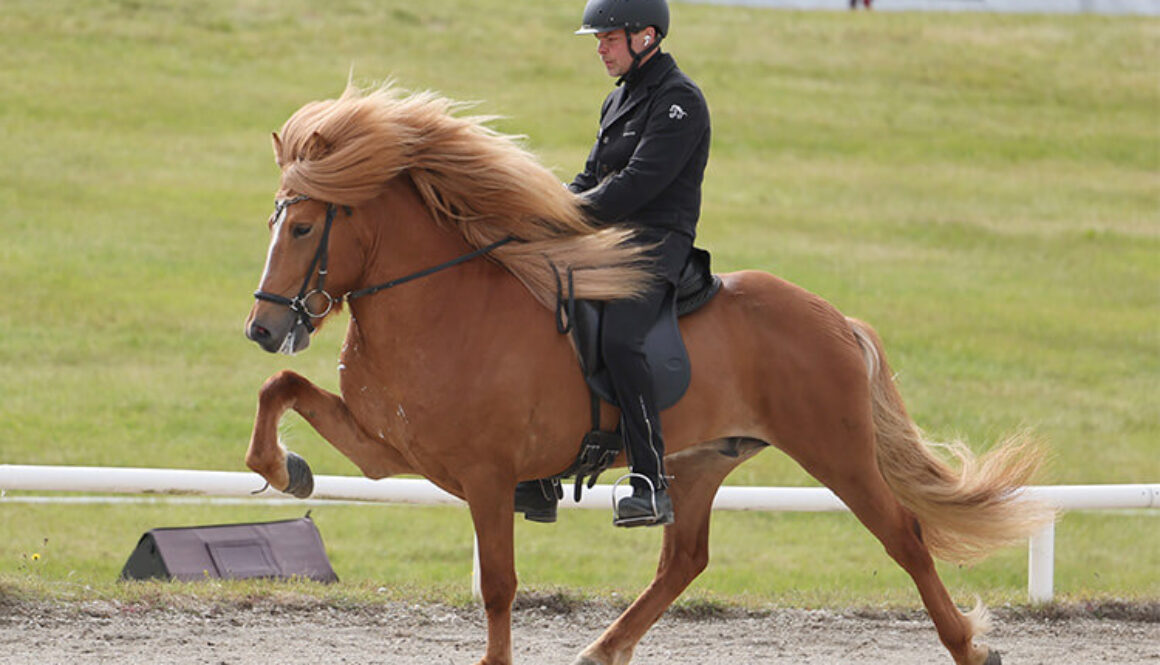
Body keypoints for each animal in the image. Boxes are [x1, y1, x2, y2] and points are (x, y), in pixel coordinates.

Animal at [242, 84, 1053, 663]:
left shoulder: (484, 473)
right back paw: (602, 649)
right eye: (272, 223)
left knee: (904, 536)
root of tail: (834, 318)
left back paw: (970, 647)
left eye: (305, 226)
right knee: (684, 560)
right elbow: (280, 391)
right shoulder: (389, 449)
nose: (264, 329)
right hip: (697, 461)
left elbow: (500, 587)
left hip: (836, 449)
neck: (438, 303)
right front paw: (288, 470)